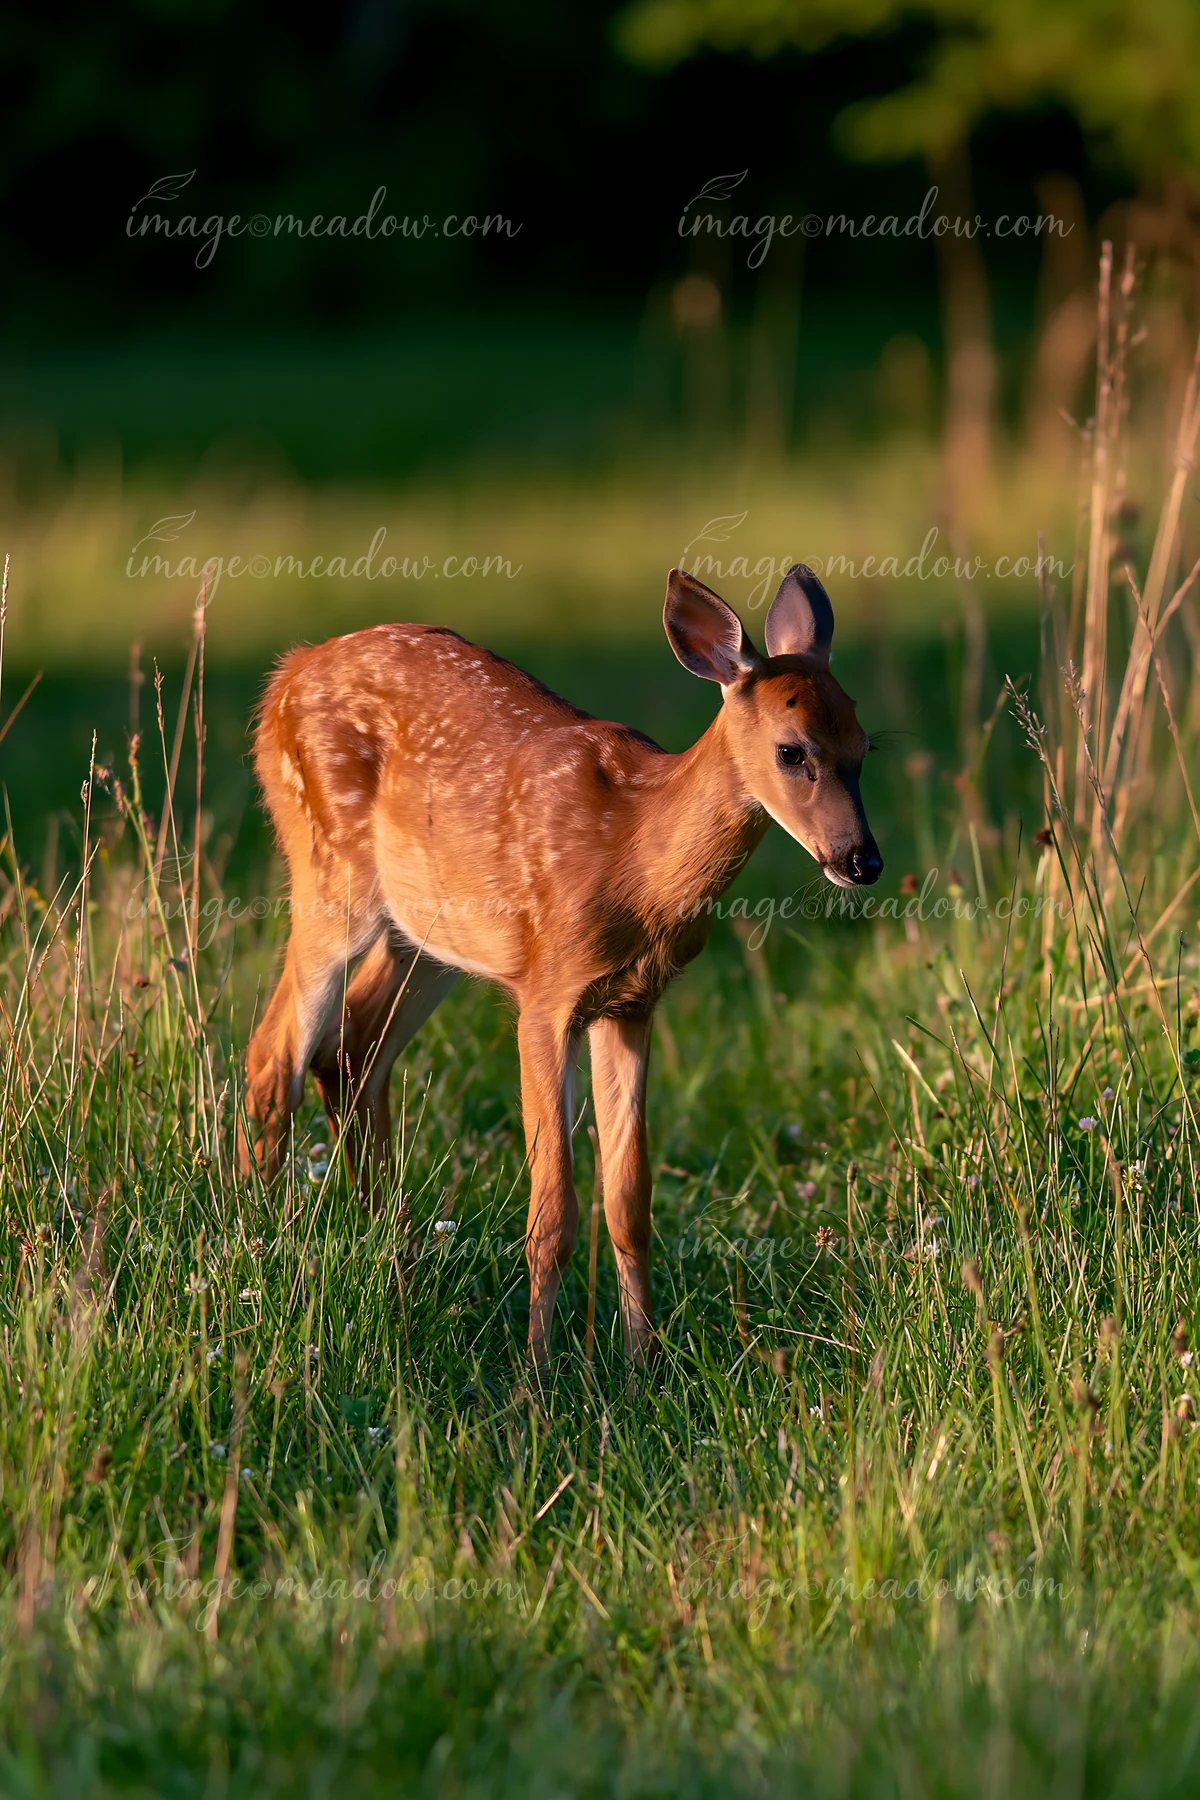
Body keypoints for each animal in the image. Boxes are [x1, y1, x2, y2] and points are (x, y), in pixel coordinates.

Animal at [238, 563, 881, 1366]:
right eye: (793, 750)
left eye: (866, 744)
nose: (862, 861)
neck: (637, 857)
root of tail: (283, 676)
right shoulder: (546, 993)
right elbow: (553, 1213)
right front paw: (536, 1375)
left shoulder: (632, 1003)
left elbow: (628, 1202)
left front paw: (642, 1365)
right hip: (329, 873)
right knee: (274, 1055)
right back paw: (268, 1246)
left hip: (424, 936)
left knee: (352, 1048)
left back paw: (392, 1261)